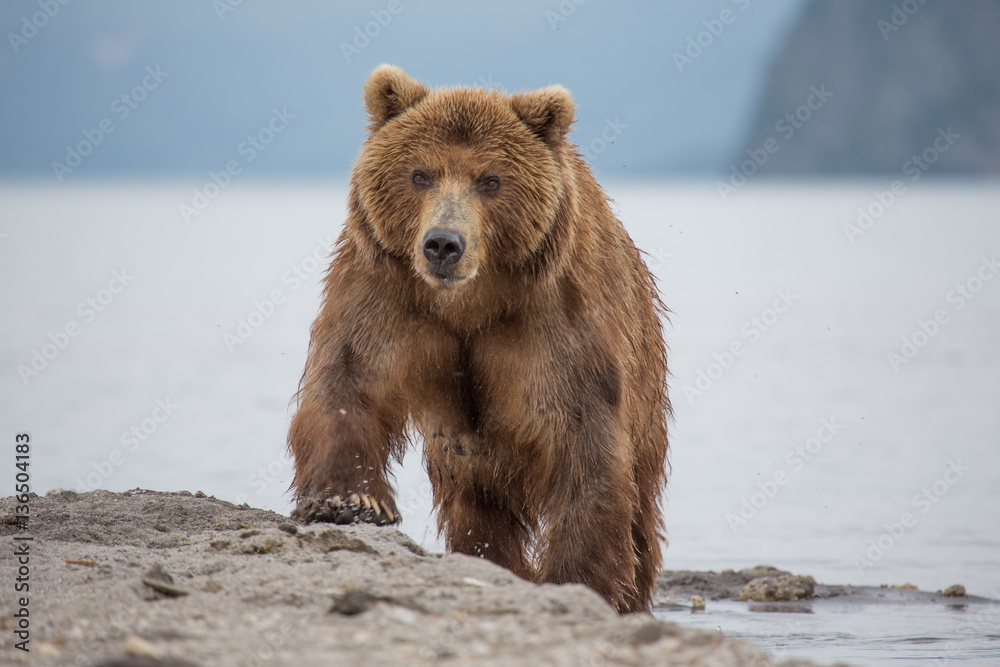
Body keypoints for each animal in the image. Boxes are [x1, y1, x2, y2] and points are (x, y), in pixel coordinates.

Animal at [287, 65, 670, 613]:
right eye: (420, 174)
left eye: (491, 180)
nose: (444, 244)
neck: (469, 301)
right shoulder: (383, 291)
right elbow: (349, 377)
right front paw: (353, 500)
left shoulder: (558, 321)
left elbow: (585, 445)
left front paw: (574, 578)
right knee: (479, 513)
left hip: (647, 391)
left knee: (640, 511)